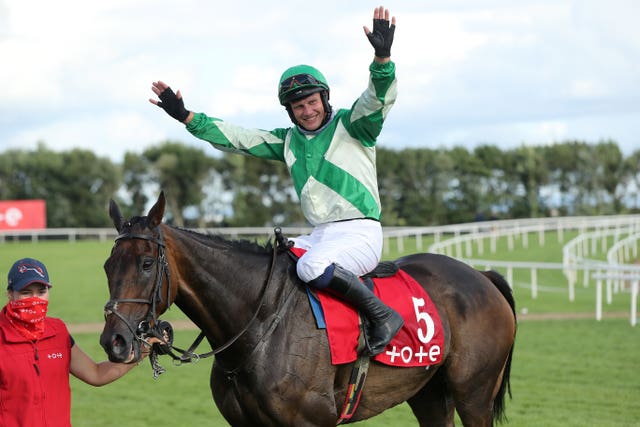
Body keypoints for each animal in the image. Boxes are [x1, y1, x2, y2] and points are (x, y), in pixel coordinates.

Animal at [100, 192, 516, 426]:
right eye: (107, 266)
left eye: (146, 264)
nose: (114, 341)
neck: (261, 321)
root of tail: (481, 276)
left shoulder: (311, 422)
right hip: (429, 394)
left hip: (474, 395)